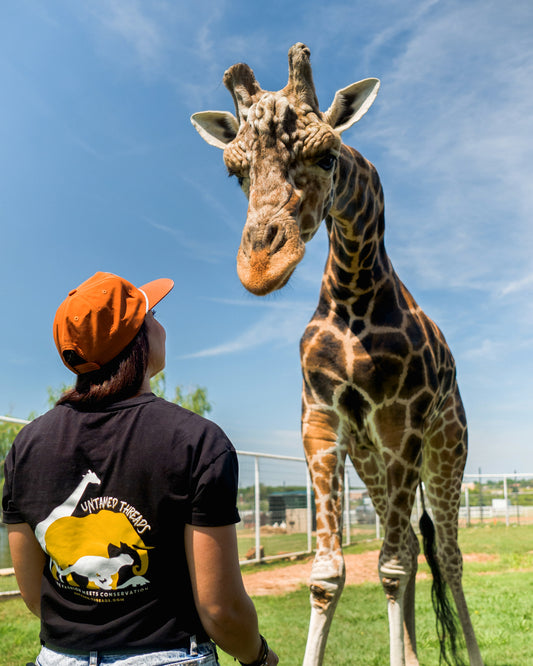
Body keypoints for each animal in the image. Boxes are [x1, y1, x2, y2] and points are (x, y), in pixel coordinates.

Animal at [191, 44, 482, 660]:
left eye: (327, 157)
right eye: (234, 172)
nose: (262, 266)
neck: (353, 296)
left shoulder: (403, 424)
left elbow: (390, 567)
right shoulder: (321, 421)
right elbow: (328, 573)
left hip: (446, 448)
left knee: (445, 554)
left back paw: (468, 653)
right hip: (372, 460)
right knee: (416, 550)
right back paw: (414, 657)